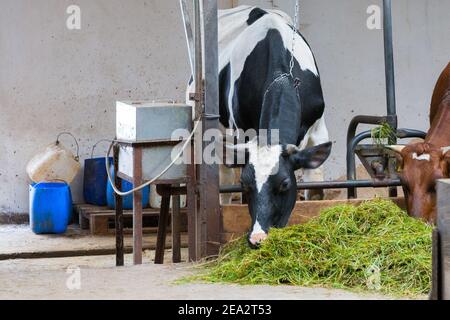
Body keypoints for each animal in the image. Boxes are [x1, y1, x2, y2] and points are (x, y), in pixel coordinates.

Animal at [186, 5, 330, 248]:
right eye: (245, 184)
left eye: (284, 184)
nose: (258, 237)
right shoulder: (242, 133)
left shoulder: (319, 128)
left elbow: (315, 187)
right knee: (223, 181)